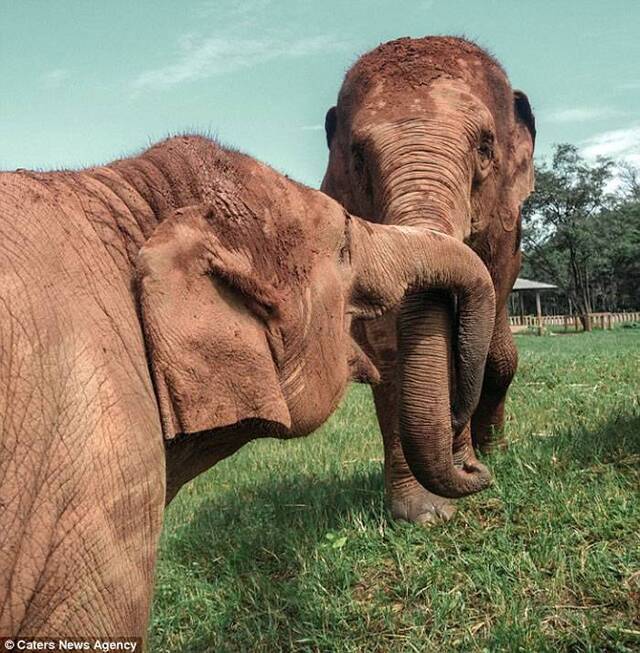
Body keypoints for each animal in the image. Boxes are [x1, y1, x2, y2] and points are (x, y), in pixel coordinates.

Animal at [320, 37, 536, 524]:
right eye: (358, 157)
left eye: (485, 147)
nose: (474, 470)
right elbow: (385, 346)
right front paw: (424, 513)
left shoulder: (502, 231)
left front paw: (465, 467)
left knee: (500, 356)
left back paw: (495, 449)